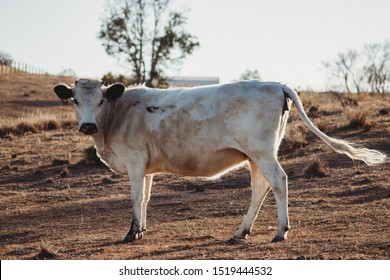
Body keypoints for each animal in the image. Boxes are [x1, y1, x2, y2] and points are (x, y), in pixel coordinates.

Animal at [53, 79, 386, 243]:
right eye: (74, 100)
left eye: (101, 100)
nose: (88, 126)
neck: (119, 115)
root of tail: (275, 83)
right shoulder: (146, 166)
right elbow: (145, 198)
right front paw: (142, 230)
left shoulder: (135, 161)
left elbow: (135, 198)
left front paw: (131, 233)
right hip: (255, 156)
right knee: (260, 187)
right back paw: (241, 232)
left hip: (263, 152)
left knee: (278, 182)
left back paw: (281, 231)